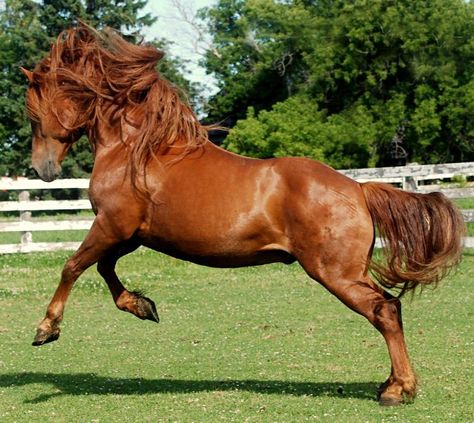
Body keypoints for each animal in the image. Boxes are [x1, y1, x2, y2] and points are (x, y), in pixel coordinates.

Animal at [21, 26, 462, 408]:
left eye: (32, 110)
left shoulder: (111, 227)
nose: (42, 169)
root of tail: (358, 189)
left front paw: (46, 329)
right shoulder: (128, 236)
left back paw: (398, 390)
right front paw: (142, 306)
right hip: (350, 272)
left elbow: (73, 266)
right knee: (392, 307)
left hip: (336, 273)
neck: (137, 151)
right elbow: (104, 271)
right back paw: (393, 384)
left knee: (384, 311)